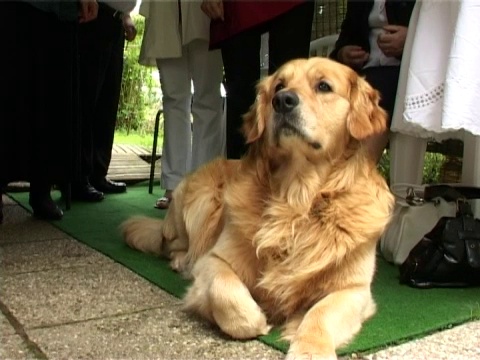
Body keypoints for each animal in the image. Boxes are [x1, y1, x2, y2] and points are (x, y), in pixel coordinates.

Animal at [123, 57, 394, 358]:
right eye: (279, 85)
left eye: (324, 86)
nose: (283, 100)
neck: (297, 197)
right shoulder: (215, 260)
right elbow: (225, 291)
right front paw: (255, 319)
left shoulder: (354, 289)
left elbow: (320, 314)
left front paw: (310, 349)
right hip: (201, 199)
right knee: (174, 244)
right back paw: (182, 260)